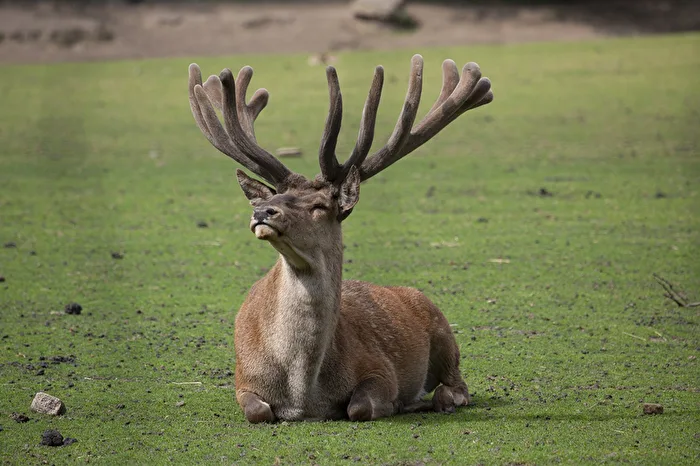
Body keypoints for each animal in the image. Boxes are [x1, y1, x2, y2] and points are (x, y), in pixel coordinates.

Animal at [187, 54, 493, 423]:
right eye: (273, 197)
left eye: (320, 206)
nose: (262, 212)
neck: (303, 392)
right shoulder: (243, 378)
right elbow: (258, 411)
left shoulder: (379, 369)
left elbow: (359, 407)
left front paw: (396, 404)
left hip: (444, 333)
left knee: (458, 385)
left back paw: (436, 398)